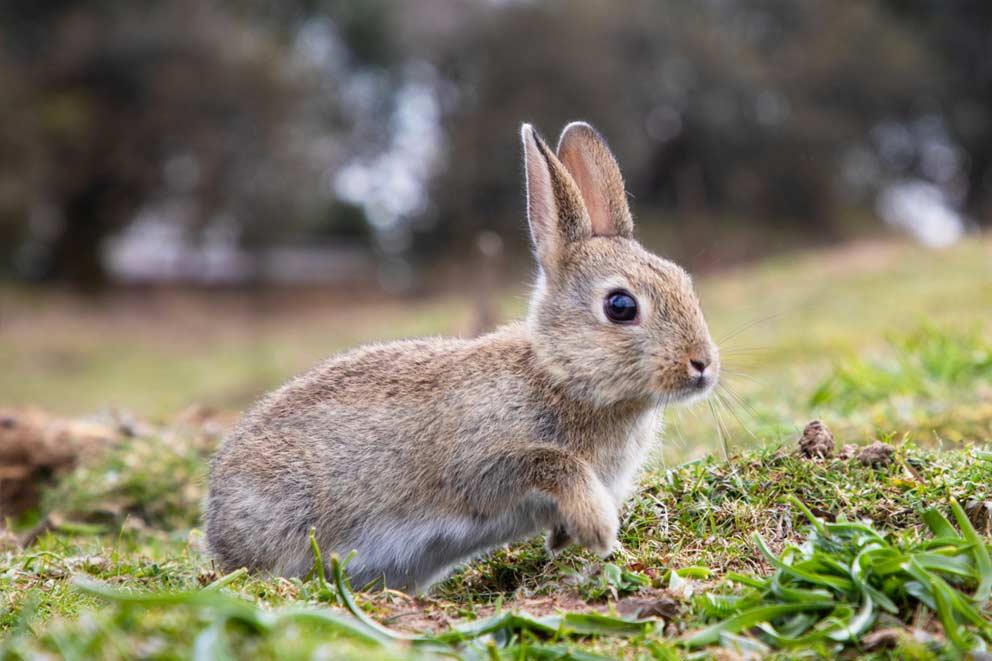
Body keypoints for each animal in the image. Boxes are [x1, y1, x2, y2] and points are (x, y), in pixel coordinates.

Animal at [207, 121, 720, 592]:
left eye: (683, 280)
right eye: (621, 306)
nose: (703, 365)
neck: (558, 375)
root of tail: (216, 523)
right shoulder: (479, 463)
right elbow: (552, 462)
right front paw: (598, 528)